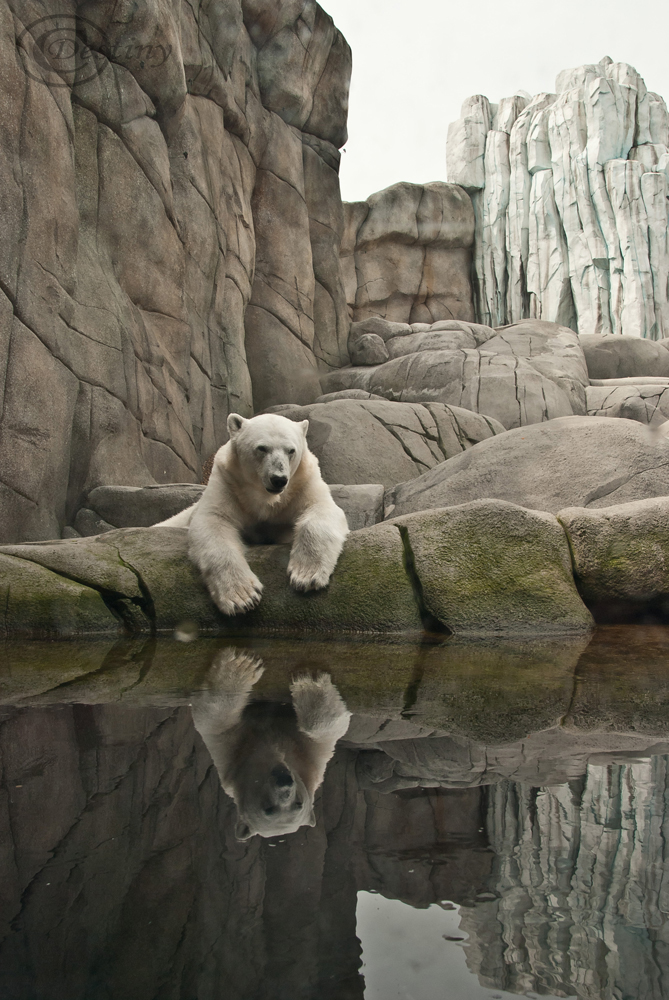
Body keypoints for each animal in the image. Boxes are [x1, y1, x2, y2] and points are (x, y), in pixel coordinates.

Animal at [157, 410, 350, 612]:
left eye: (291, 450)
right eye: (262, 448)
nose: (279, 479)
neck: (266, 496)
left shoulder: (302, 483)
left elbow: (320, 509)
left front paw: (306, 576)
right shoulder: (229, 482)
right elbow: (213, 521)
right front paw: (242, 597)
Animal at [189, 652, 350, 840]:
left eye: (299, 803)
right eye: (268, 809)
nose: (284, 782)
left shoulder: (310, 758)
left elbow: (328, 729)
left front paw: (310, 682)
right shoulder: (230, 753)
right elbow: (213, 718)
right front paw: (241, 666)